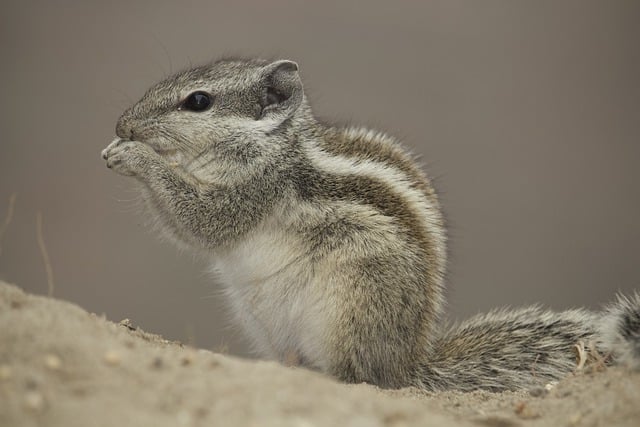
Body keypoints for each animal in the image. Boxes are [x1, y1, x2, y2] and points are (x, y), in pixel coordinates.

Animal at [101, 58, 640, 392]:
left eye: (197, 101)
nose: (124, 124)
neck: (273, 142)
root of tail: (407, 366)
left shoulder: (256, 187)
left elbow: (202, 221)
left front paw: (134, 156)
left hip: (350, 307)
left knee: (357, 377)